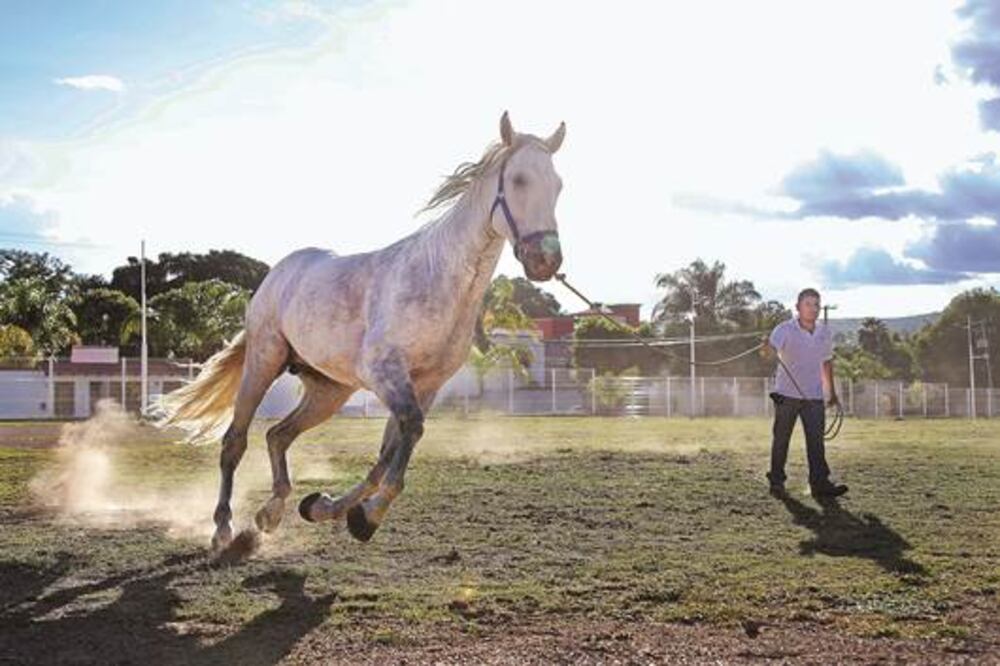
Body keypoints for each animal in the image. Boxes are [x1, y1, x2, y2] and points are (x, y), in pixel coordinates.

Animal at [160, 112, 566, 551]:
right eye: (519, 180)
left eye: (558, 184)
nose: (546, 260)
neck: (436, 277)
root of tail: (278, 274)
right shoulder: (385, 373)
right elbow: (407, 434)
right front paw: (366, 515)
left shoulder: (425, 385)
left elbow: (391, 451)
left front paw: (332, 509)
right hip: (264, 361)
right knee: (235, 441)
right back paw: (222, 529)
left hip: (329, 391)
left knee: (278, 435)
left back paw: (272, 512)